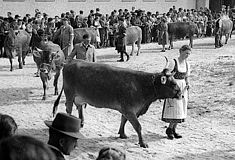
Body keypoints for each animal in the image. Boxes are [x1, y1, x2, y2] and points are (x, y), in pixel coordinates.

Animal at [52, 58, 182, 148]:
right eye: (173, 83)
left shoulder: (128, 110)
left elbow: (123, 120)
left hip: (79, 97)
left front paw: (122, 134)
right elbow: (138, 126)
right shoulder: (129, 110)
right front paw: (142, 143)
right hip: (69, 94)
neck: (142, 85)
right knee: (68, 109)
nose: (181, 94)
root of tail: (70, 62)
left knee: (79, 107)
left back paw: (81, 122)